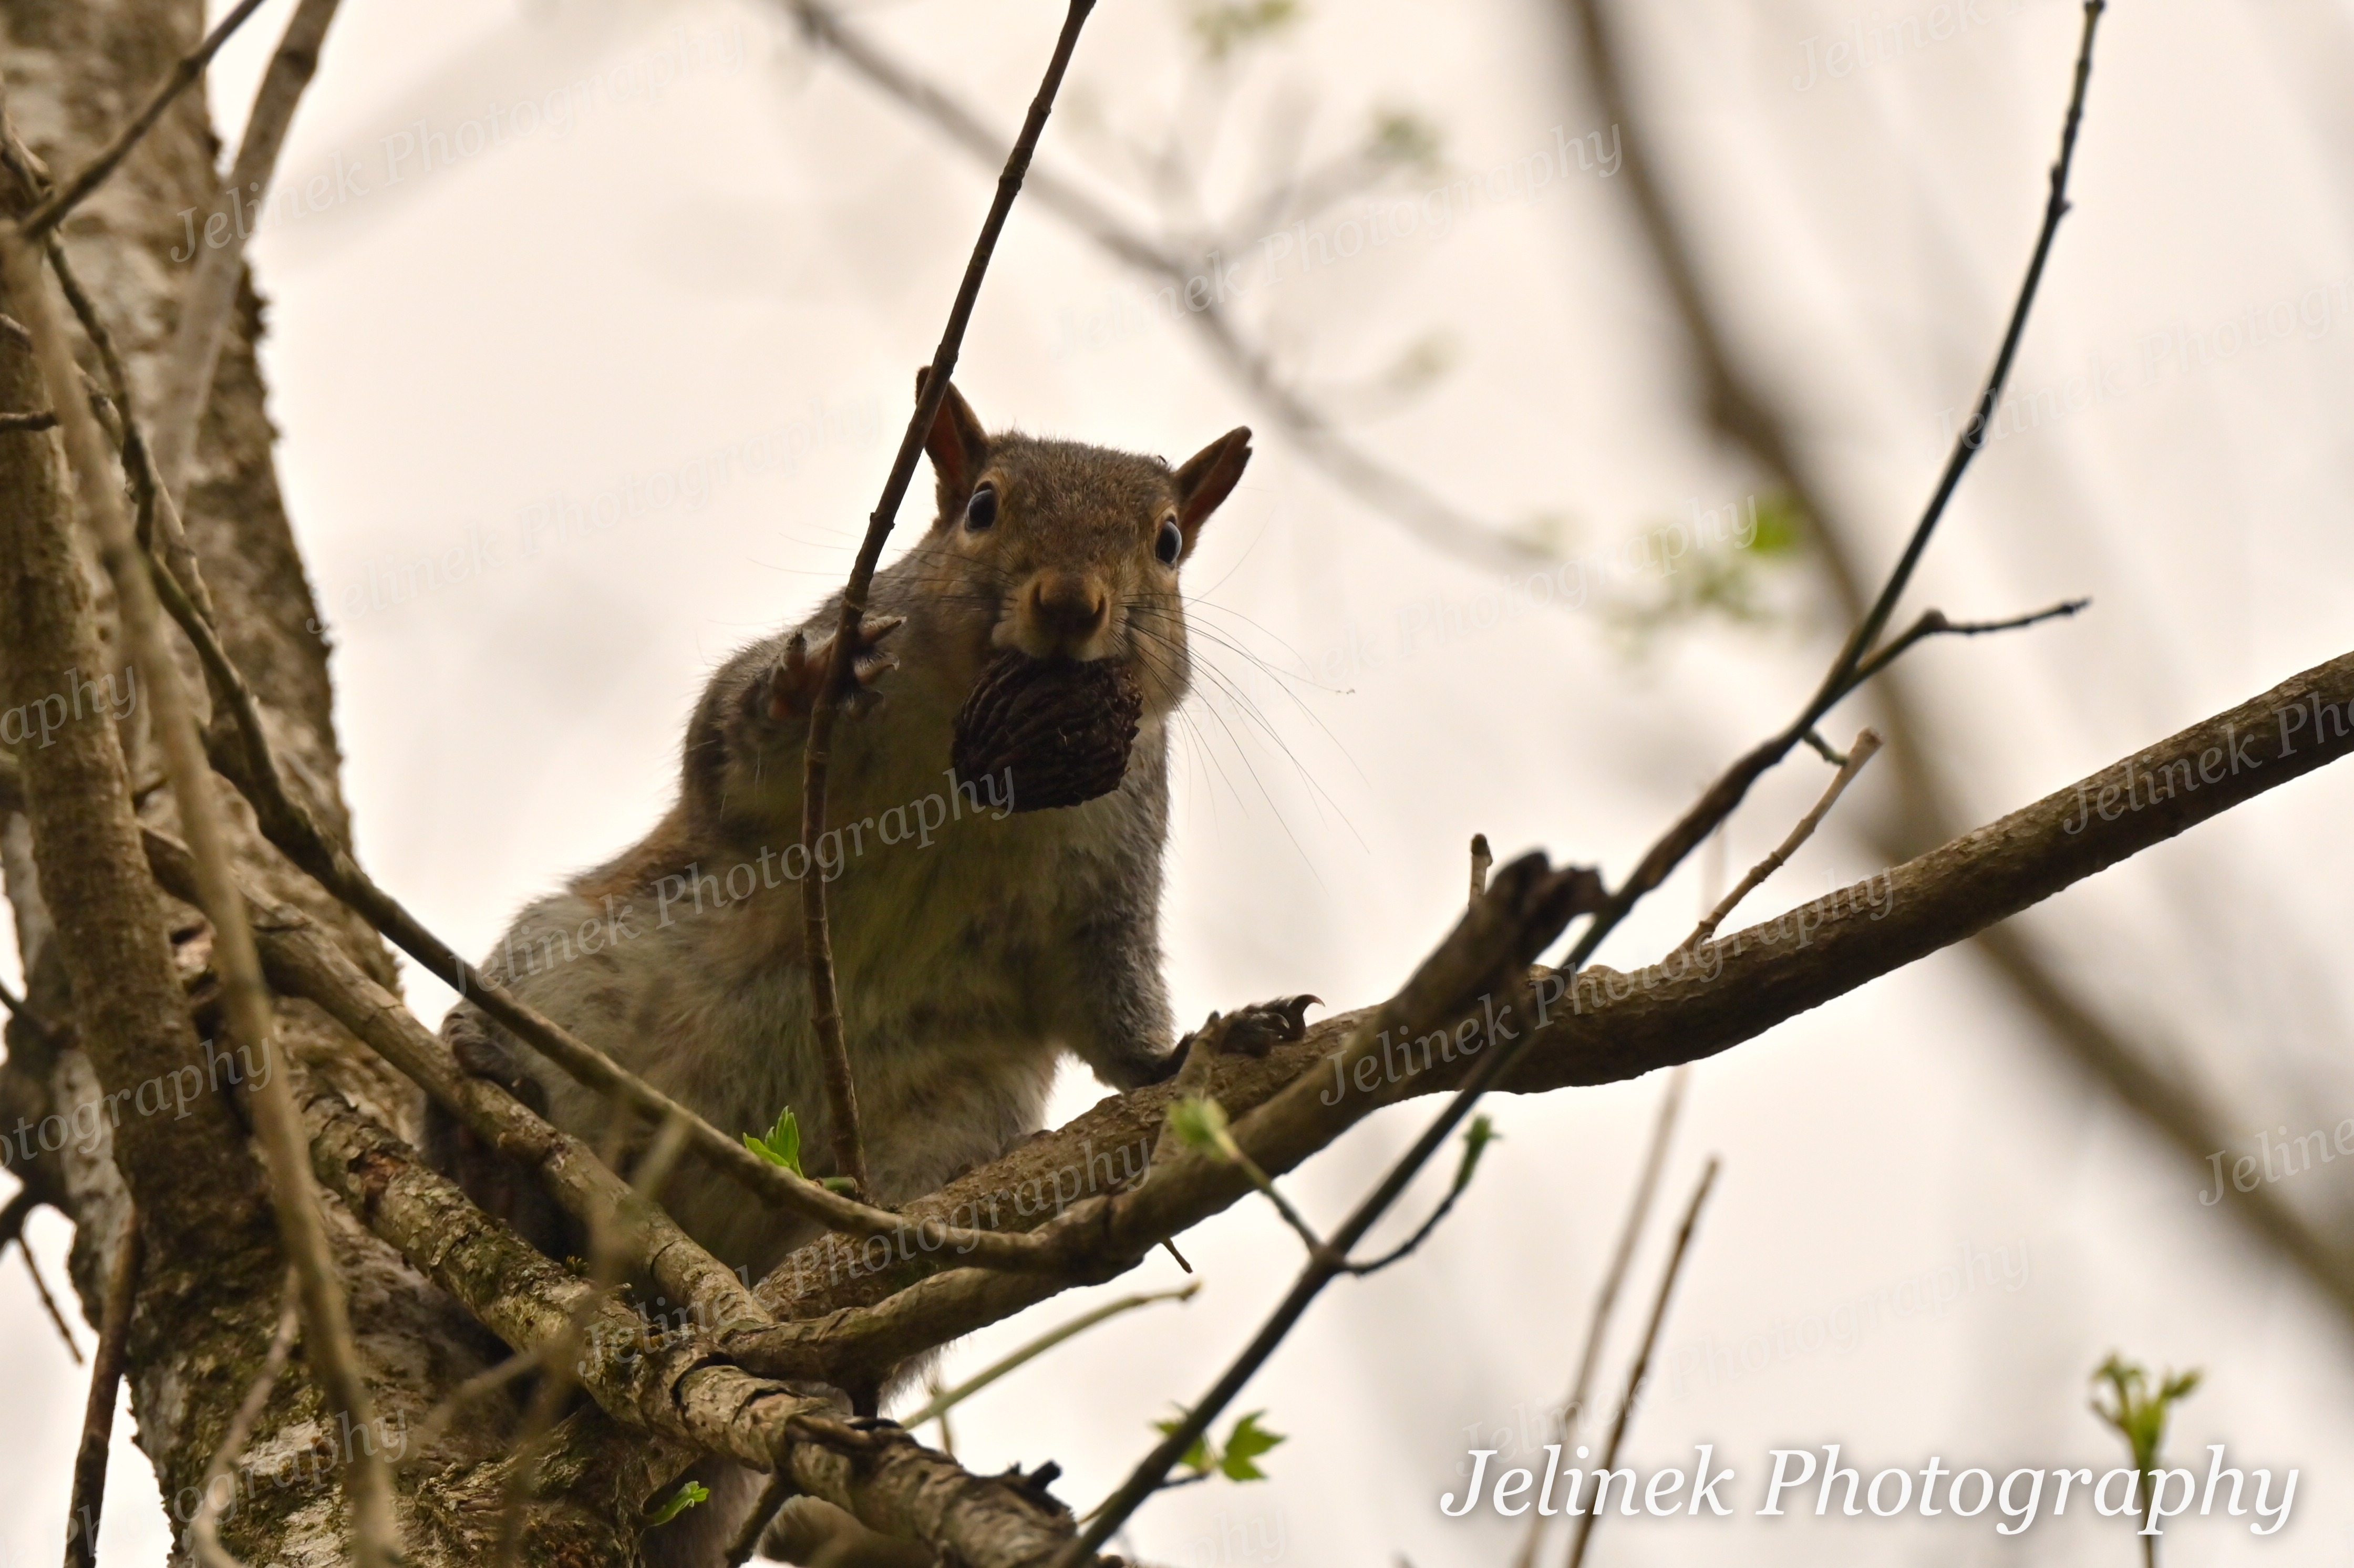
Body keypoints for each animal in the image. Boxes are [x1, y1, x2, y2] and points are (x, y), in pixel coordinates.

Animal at [429, 376, 1304, 1564]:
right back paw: (494, 1157)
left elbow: (1109, 1000)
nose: (1071, 603)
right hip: (570, 980)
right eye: (981, 507)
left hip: (941, 1140)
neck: (973, 752)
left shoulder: (1113, 860)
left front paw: (1192, 1050)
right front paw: (810, 682)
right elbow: (727, 746)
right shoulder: (763, 773)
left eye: (1167, 543)